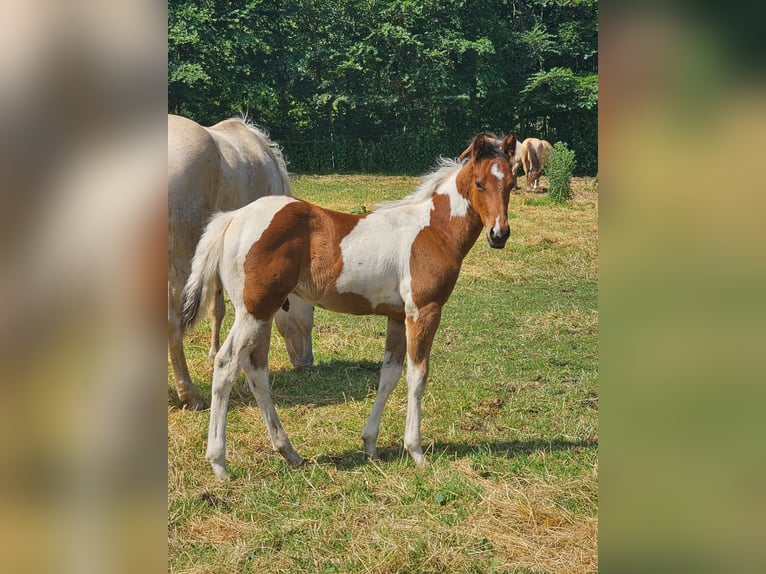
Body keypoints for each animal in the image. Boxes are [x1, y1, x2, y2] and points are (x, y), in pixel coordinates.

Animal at [168, 114, 314, 410]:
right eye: (313, 311)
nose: (307, 363)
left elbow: (217, 309)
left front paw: (213, 354)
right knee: (172, 324)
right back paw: (189, 394)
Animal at [180, 133, 516, 478]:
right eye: (479, 183)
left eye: (513, 183)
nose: (499, 234)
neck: (433, 230)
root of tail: (232, 217)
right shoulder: (423, 311)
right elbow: (417, 375)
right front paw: (416, 451)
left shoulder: (397, 316)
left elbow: (389, 375)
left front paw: (370, 444)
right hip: (254, 311)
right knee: (227, 364)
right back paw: (219, 463)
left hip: (260, 313)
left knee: (256, 370)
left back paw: (289, 452)